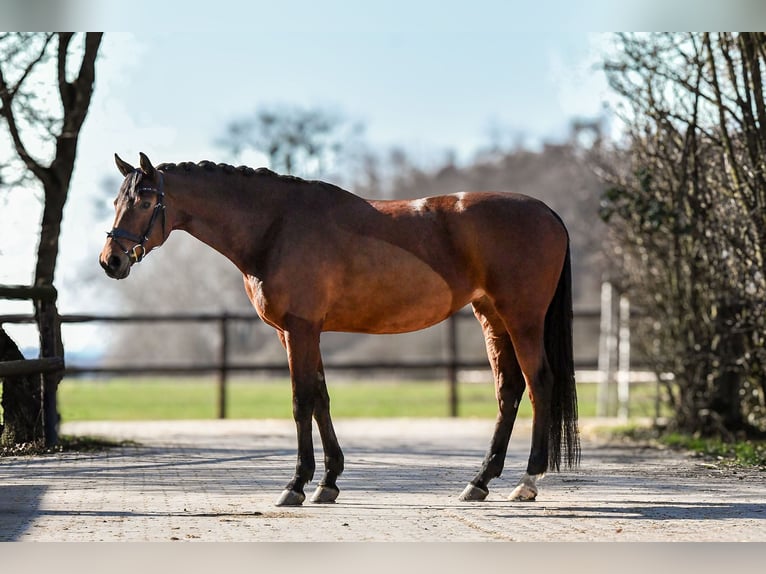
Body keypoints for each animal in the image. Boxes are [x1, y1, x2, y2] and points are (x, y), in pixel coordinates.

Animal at [100, 152, 579, 506]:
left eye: (145, 202)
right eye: (117, 202)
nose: (111, 261)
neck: (275, 226)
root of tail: (548, 212)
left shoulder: (300, 329)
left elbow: (301, 402)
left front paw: (295, 485)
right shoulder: (298, 332)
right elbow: (321, 399)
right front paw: (327, 482)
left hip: (522, 318)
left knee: (539, 382)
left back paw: (527, 481)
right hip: (491, 317)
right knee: (508, 389)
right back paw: (479, 480)